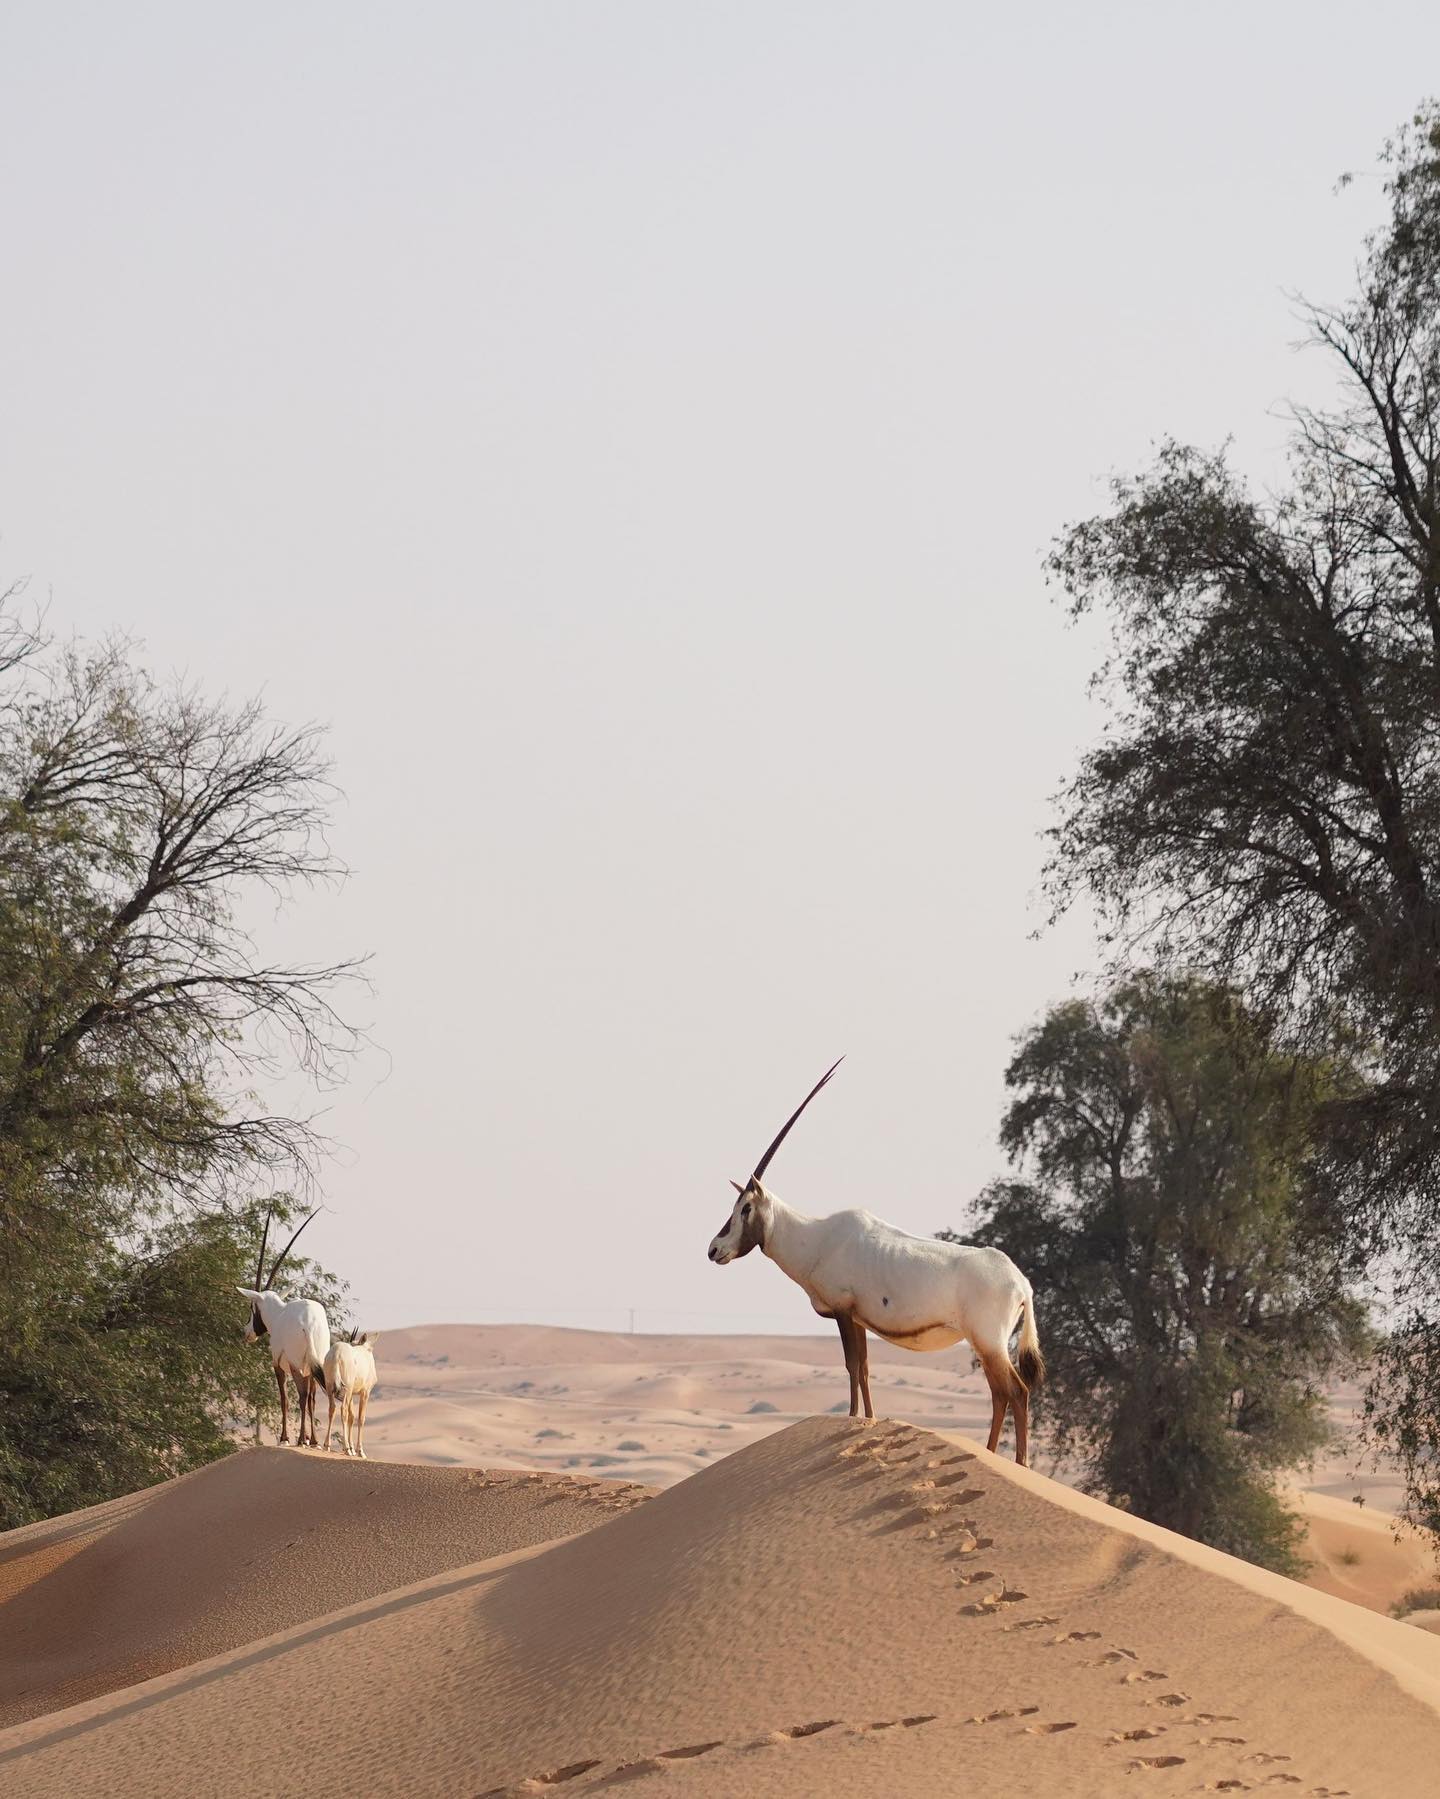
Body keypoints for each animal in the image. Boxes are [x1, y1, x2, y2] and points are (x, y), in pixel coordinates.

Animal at [241, 1208, 333, 1446]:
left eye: (252, 1307)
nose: (247, 1333)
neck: (278, 1313)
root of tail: (309, 1323)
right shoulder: (309, 1366)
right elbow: (310, 1400)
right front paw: (311, 1439)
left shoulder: (278, 1364)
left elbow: (283, 1399)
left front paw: (285, 1438)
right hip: (314, 1361)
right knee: (310, 1397)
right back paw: (312, 1440)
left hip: (295, 1364)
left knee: (301, 1396)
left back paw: (299, 1439)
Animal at [709, 1057, 1044, 1467]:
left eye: (745, 1208)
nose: (714, 1249)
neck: (815, 1237)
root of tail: (1021, 1282)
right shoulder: (858, 1317)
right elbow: (866, 1368)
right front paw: (867, 1420)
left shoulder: (842, 1310)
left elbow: (852, 1364)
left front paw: (852, 1417)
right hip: (986, 1344)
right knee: (1001, 1393)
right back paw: (993, 1454)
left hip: (989, 1340)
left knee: (1016, 1390)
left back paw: (1017, 1462)